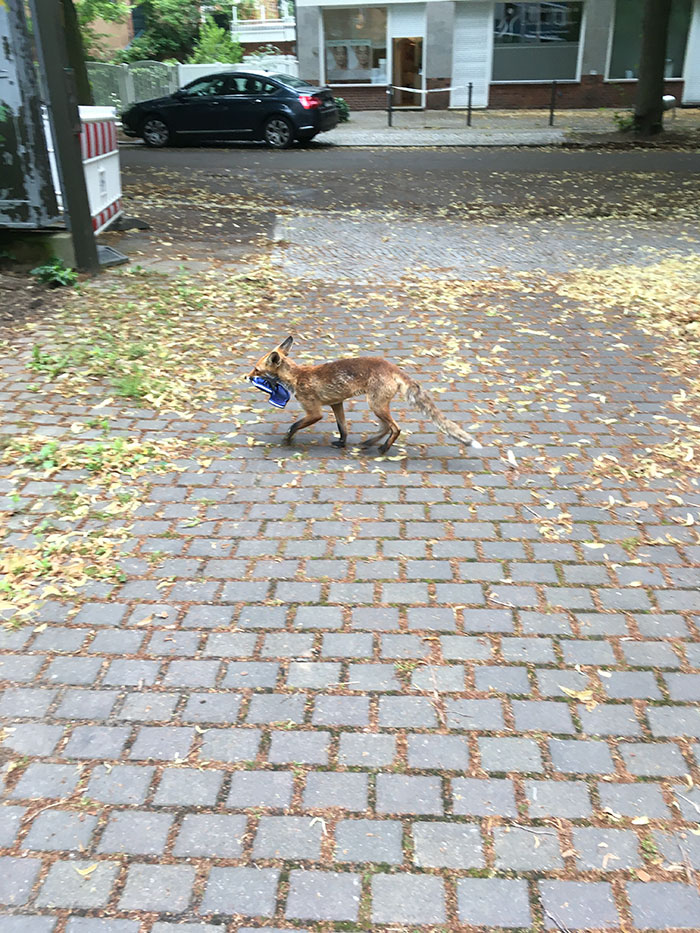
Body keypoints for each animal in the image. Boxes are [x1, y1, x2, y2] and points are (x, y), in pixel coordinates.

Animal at [247, 336, 482, 454]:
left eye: (256, 370)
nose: (246, 377)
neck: (297, 376)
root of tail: (392, 366)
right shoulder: (337, 403)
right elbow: (343, 427)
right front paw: (342, 443)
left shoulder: (315, 412)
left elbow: (294, 425)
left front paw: (287, 440)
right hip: (377, 406)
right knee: (386, 427)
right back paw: (368, 443)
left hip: (375, 405)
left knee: (395, 428)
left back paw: (384, 449)